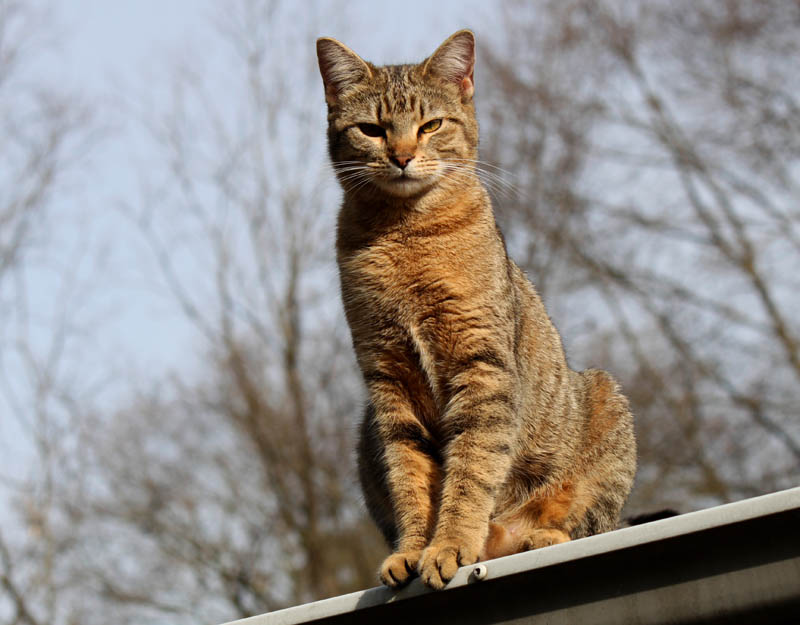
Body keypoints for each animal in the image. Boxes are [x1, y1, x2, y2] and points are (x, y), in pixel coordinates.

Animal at [316, 29, 636, 588]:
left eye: (431, 125)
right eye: (372, 130)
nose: (402, 156)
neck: (405, 234)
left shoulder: (481, 364)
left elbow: (470, 469)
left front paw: (451, 544)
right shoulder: (388, 381)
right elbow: (410, 478)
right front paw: (414, 548)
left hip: (606, 407)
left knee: (583, 522)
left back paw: (536, 535)